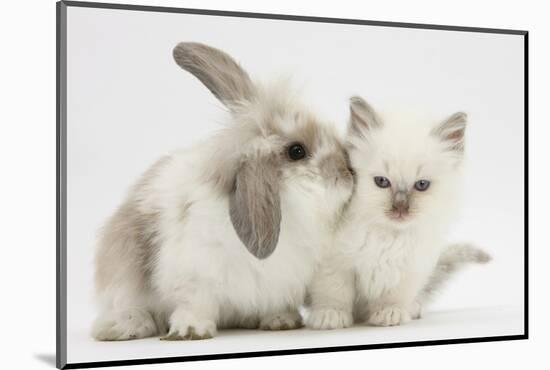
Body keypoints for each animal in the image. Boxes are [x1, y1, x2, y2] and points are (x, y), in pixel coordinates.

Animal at [92, 41, 356, 342]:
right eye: (297, 151)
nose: (347, 170)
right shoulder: (194, 276)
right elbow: (195, 304)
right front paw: (190, 331)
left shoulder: (280, 280)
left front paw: (281, 321)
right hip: (121, 272)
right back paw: (128, 326)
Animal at [308, 96, 490, 330]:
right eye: (382, 181)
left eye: (421, 185)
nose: (400, 208)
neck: (387, 235)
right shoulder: (333, 263)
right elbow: (334, 291)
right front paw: (330, 315)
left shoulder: (410, 269)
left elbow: (395, 296)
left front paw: (390, 313)